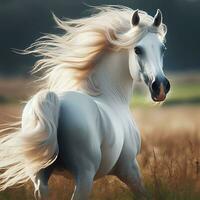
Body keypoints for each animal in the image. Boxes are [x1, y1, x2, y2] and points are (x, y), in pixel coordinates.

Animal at [0, 5, 170, 200]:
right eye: (137, 50)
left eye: (162, 48)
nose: (160, 87)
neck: (109, 95)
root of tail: (56, 102)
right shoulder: (129, 168)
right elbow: (143, 193)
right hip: (85, 175)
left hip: (40, 176)